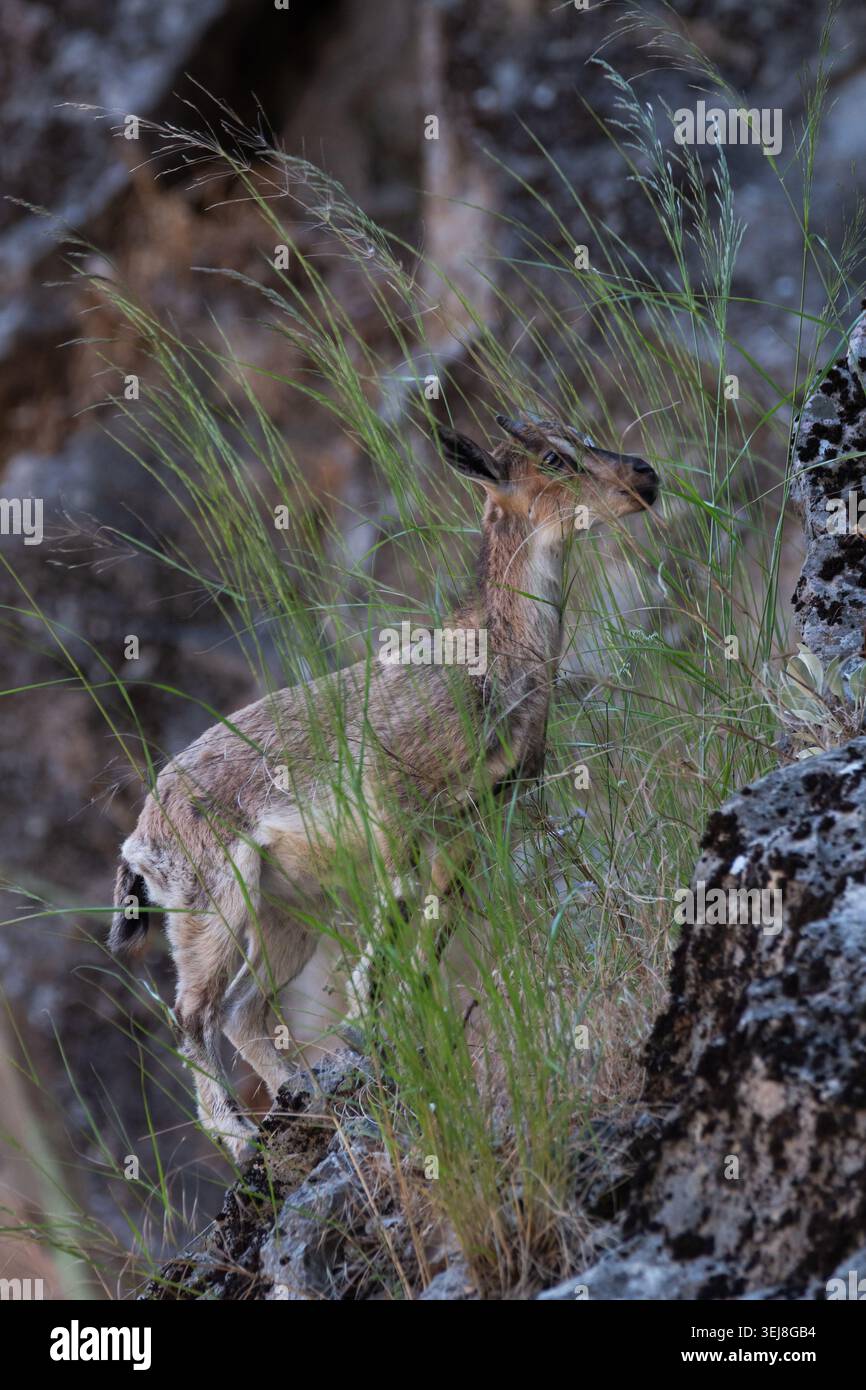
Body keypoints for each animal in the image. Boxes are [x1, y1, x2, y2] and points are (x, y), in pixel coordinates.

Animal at [110, 413, 658, 1154]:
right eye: (553, 457)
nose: (643, 478)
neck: (488, 662)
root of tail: (141, 840)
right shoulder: (391, 799)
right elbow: (399, 904)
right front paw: (370, 1010)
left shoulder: (469, 823)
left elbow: (435, 923)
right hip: (209, 906)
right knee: (194, 1012)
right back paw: (241, 1135)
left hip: (282, 913)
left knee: (243, 1009)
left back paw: (305, 1097)